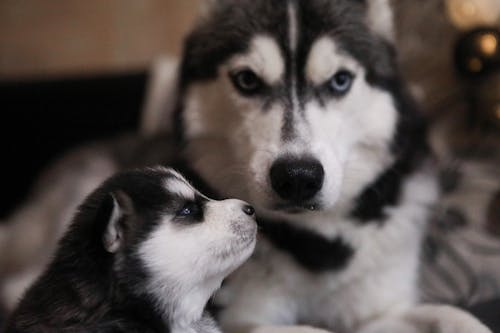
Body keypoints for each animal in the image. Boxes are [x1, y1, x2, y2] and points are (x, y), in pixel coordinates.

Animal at [172, 0, 492, 332]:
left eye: (340, 80)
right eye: (247, 80)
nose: (298, 178)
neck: (316, 242)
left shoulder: (378, 307)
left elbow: (446, 314)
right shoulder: (236, 316)